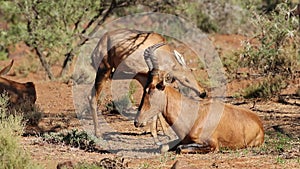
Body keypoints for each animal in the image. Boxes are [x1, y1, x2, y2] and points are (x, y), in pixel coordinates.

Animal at [134, 43, 264, 153]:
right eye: (145, 87)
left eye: (156, 87)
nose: (137, 121)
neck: (193, 114)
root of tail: (259, 123)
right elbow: (163, 147)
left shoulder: (212, 145)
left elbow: (180, 148)